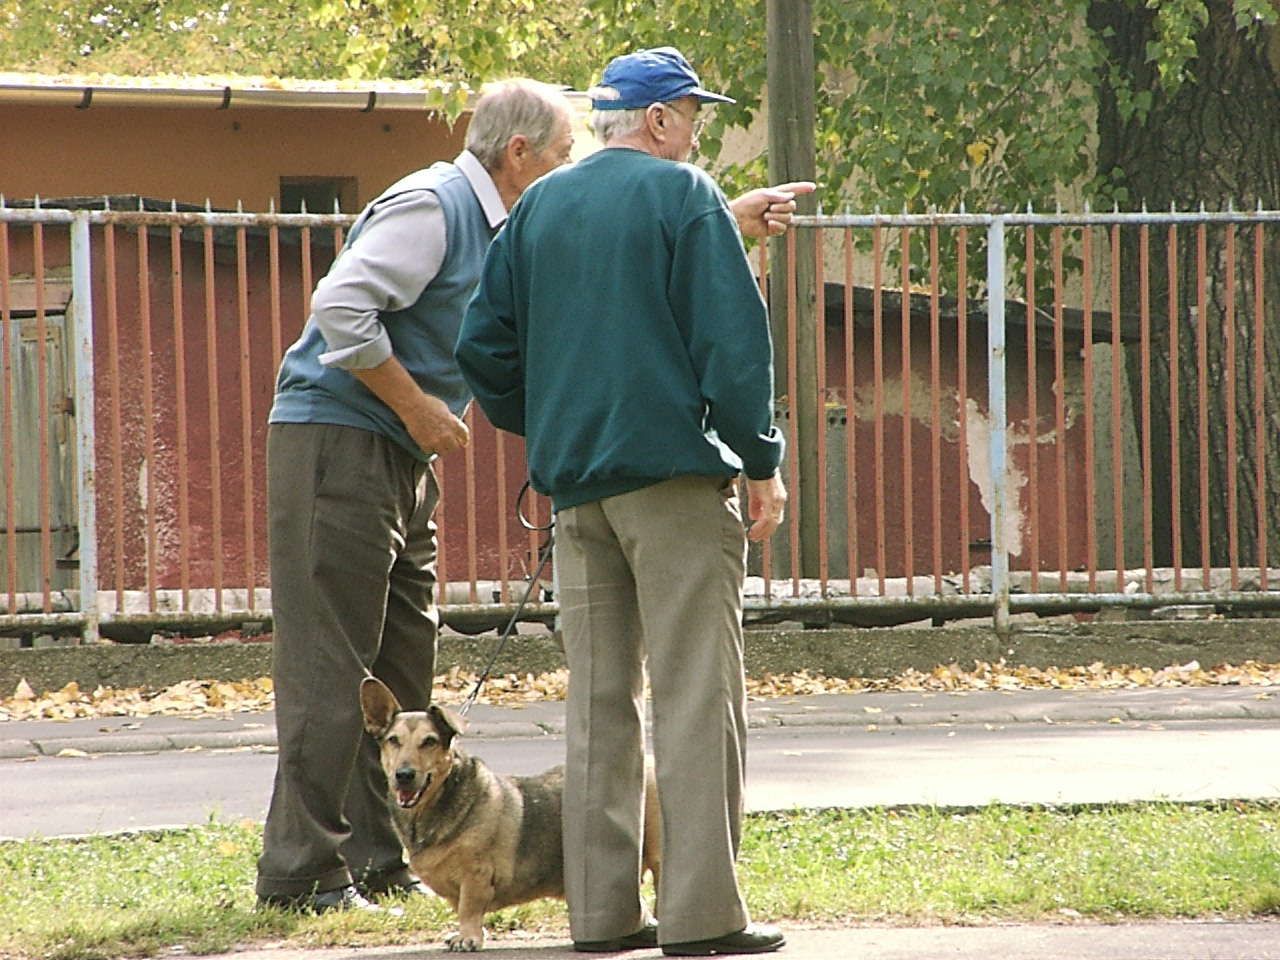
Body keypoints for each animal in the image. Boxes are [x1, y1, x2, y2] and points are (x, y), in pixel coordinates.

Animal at [360, 680, 660, 952]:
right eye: (393, 741)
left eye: (429, 742)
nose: (404, 775)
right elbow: (462, 909)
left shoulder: (476, 876)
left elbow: (468, 909)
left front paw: (469, 938)